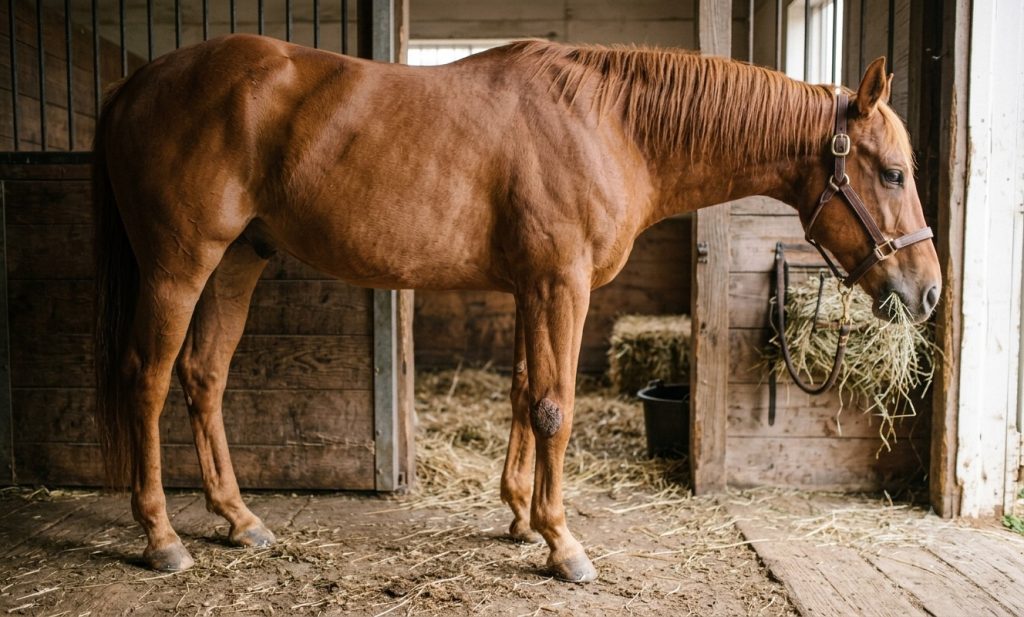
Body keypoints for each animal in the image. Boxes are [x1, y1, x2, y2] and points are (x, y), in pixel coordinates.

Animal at [93, 34, 941, 583]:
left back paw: (240, 520)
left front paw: (521, 517)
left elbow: (525, 395)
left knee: (203, 377)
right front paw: (562, 544)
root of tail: (137, 82)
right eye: (894, 172)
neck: (611, 123)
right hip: (180, 265)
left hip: (240, 259)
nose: (928, 290)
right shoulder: (563, 285)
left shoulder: (536, 288)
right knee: (147, 379)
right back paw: (161, 536)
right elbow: (555, 407)